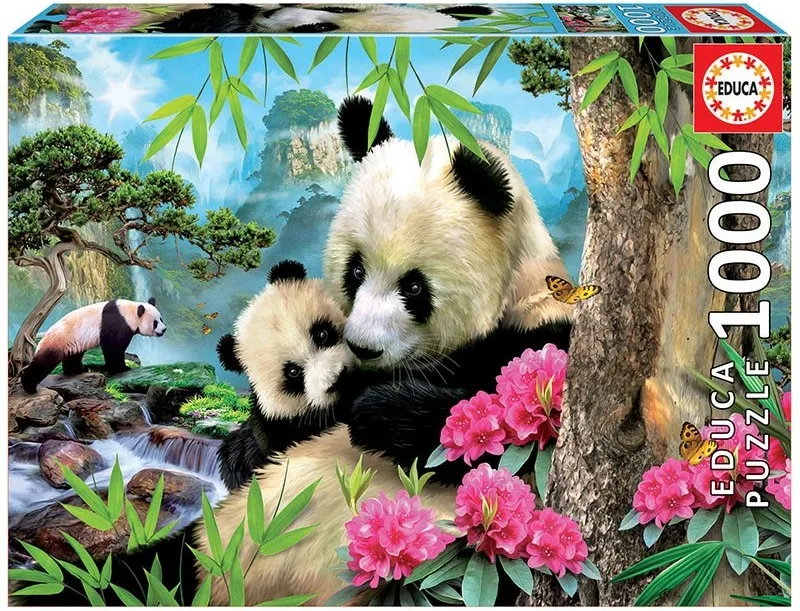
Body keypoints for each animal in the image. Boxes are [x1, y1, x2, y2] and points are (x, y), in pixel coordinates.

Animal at [21, 298, 166, 394]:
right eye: (155, 323)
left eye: (161, 319)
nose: (164, 330)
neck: (129, 312)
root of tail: (44, 336)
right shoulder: (116, 323)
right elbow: (112, 347)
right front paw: (122, 368)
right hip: (58, 341)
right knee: (44, 362)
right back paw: (29, 386)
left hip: (73, 342)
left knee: (73, 357)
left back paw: (78, 370)